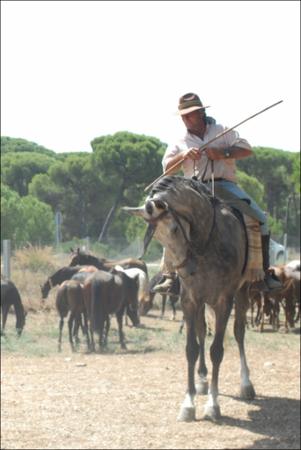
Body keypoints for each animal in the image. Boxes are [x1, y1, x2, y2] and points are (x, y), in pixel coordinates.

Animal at [124, 175, 255, 422]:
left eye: (175, 227)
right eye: (157, 237)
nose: (185, 270)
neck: (208, 242)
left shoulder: (224, 301)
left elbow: (217, 350)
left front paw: (213, 405)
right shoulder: (190, 300)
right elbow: (192, 349)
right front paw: (189, 402)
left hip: (242, 293)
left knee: (239, 333)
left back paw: (246, 383)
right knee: (203, 332)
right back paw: (203, 379)